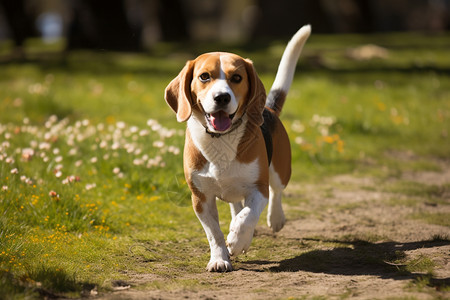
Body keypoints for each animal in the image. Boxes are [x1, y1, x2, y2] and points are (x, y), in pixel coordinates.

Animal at [166, 25, 312, 272]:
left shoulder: (258, 189)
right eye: (204, 76)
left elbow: (248, 216)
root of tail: (267, 108)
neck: (221, 140)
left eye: (237, 78)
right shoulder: (200, 198)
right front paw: (219, 258)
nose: (222, 97)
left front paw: (236, 241)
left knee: (276, 192)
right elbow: (214, 232)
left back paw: (275, 218)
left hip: (280, 170)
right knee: (236, 206)